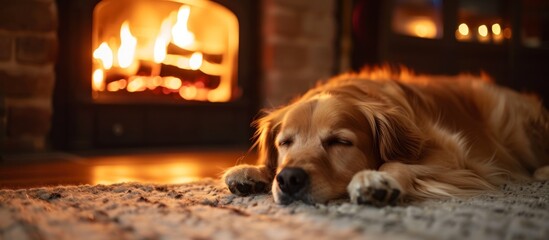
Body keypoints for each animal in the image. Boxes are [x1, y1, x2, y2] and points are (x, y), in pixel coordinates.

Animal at [220, 68, 544, 206]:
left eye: (340, 142)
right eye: (285, 143)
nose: (289, 179)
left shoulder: (454, 158)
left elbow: (395, 163)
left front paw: (377, 179)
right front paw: (251, 172)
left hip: (513, 124)